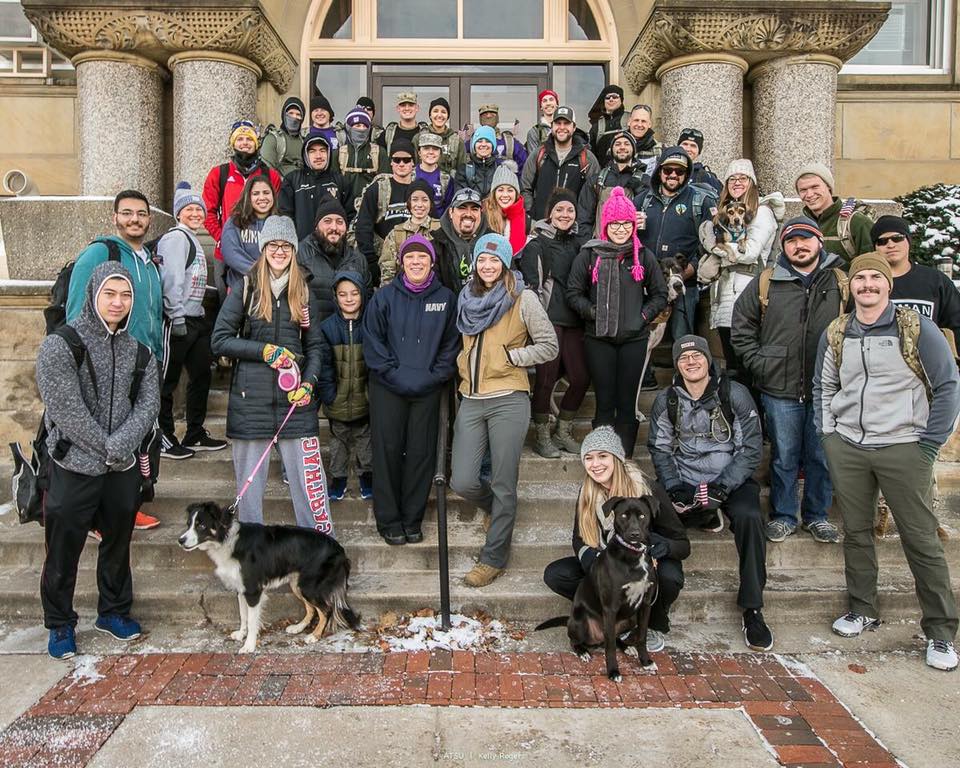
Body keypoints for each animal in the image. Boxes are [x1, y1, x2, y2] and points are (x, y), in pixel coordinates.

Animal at [179, 504, 360, 656]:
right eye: (188, 524)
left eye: (201, 525)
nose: (180, 540)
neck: (227, 540)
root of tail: (340, 550)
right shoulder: (241, 589)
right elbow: (243, 616)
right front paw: (241, 634)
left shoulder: (253, 591)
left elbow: (252, 621)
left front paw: (249, 645)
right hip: (297, 584)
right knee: (311, 609)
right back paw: (298, 628)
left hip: (309, 586)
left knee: (326, 610)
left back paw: (314, 636)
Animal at [536, 496, 656, 680]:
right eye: (623, 515)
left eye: (642, 516)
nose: (634, 534)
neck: (633, 554)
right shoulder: (610, 607)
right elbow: (610, 647)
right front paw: (613, 671)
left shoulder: (646, 604)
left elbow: (642, 637)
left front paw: (646, 662)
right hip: (581, 621)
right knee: (577, 640)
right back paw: (583, 652)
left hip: (630, 619)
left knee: (614, 637)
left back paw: (626, 646)